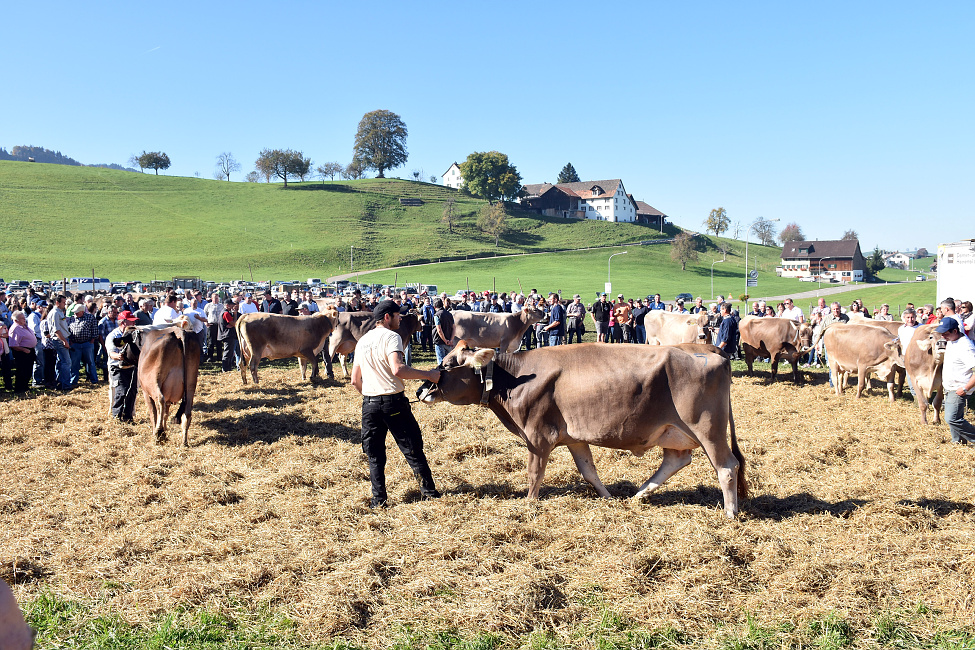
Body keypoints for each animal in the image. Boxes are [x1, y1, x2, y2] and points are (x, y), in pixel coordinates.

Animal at [418, 340, 748, 516]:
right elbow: (589, 471)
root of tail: (709, 348)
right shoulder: (575, 438)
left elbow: (534, 473)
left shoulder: (538, 435)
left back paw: (730, 513)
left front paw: (528, 504)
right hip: (674, 432)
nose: (421, 390)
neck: (515, 377)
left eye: (447, 364)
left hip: (707, 429)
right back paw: (638, 495)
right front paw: (608, 498)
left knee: (727, 466)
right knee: (676, 460)